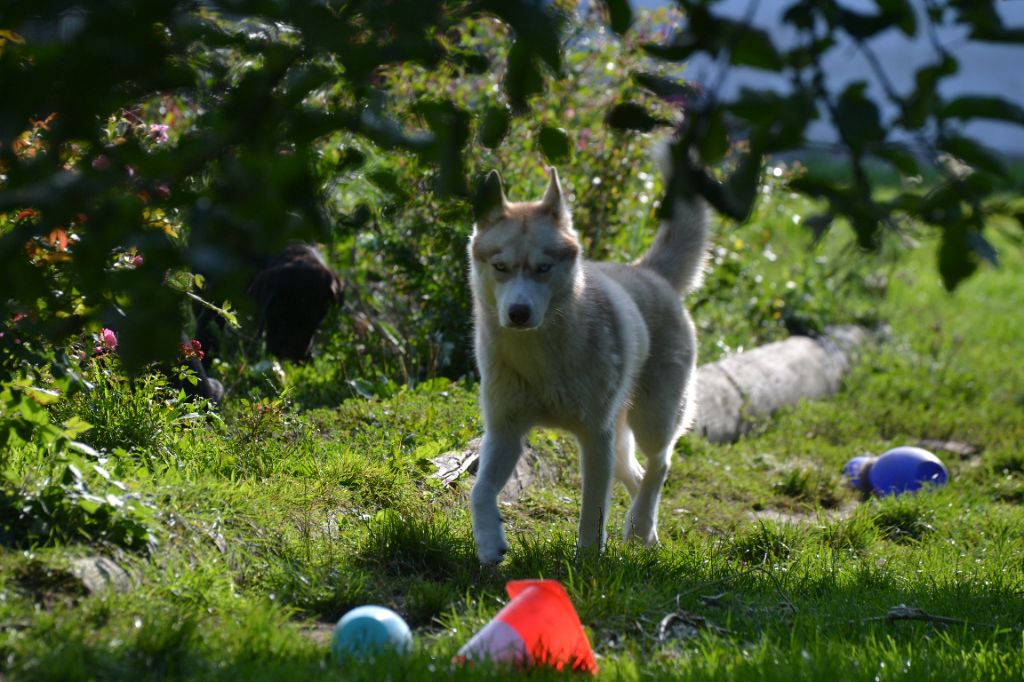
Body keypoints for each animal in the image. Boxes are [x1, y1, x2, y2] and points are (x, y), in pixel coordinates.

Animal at [468, 153, 708, 561]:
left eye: (544, 267)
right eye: (500, 267)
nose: (518, 313)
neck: (540, 358)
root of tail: (649, 272)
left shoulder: (596, 436)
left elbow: (592, 511)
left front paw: (588, 562)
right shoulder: (504, 431)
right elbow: (479, 490)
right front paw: (489, 542)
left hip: (653, 420)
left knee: (660, 465)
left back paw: (638, 526)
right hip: (623, 436)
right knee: (638, 475)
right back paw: (646, 533)